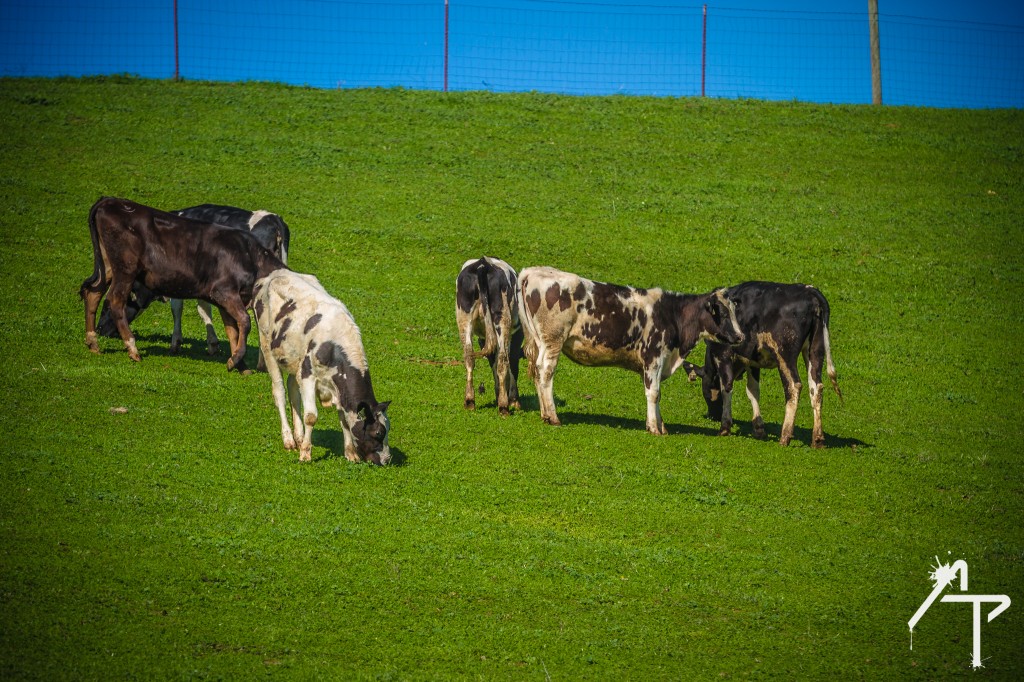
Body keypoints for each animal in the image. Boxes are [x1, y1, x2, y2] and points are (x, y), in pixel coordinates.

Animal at [77, 193, 286, 372]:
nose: (102, 329)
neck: (250, 255)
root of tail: (109, 201)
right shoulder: (222, 292)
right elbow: (240, 321)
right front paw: (233, 358)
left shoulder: (226, 297)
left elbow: (234, 327)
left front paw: (238, 362)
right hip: (124, 268)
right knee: (112, 298)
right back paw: (130, 348)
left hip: (111, 266)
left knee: (96, 293)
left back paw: (95, 342)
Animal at [252, 266, 391, 462]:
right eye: (378, 432)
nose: (387, 460)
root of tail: (276, 272)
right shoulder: (308, 375)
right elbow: (311, 416)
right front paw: (305, 453)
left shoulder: (337, 386)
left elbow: (344, 419)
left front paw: (350, 453)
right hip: (266, 344)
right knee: (279, 391)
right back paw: (288, 439)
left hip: (295, 360)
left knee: (293, 390)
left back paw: (299, 436)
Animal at [456, 256, 524, 411]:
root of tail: (483, 264)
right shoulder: (517, 335)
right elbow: (512, 363)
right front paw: (513, 399)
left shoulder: (483, 338)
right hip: (502, 318)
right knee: (503, 360)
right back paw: (504, 407)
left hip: (464, 317)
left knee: (469, 356)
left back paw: (470, 400)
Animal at [520, 266, 745, 436]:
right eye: (723, 313)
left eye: (734, 311)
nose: (740, 336)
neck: (672, 315)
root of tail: (533, 271)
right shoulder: (653, 357)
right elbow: (653, 393)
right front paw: (654, 428)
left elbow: (656, 393)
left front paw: (660, 426)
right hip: (553, 341)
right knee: (546, 372)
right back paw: (553, 416)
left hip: (540, 342)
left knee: (537, 372)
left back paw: (544, 414)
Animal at [684, 280, 843, 446]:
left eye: (705, 392)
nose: (712, 415)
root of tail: (810, 291)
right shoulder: (752, 360)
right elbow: (753, 391)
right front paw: (759, 429)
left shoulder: (723, 354)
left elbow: (726, 387)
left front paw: (725, 427)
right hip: (815, 349)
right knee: (816, 387)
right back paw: (817, 440)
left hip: (785, 354)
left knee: (794, 386)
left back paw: (785, 436)